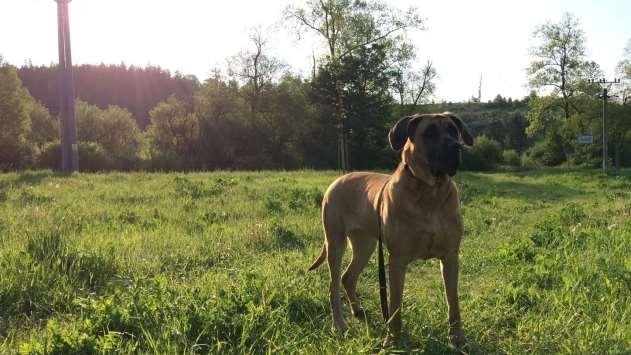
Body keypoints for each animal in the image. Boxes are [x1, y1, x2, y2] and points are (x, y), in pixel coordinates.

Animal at [308, 113, 476, 348]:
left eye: (453, 130)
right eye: (429, 133)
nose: (455, 147)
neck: (429, 192)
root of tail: (338, 179)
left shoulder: (451, 256)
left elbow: (454, 302)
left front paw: (457, 337)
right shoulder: (397, 259)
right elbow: (395, 305)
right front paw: (393, 339)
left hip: (365, 245)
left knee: (348, 277)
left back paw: (357, 310)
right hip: (335, 242)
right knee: (333, 285)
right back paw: (339, 324)